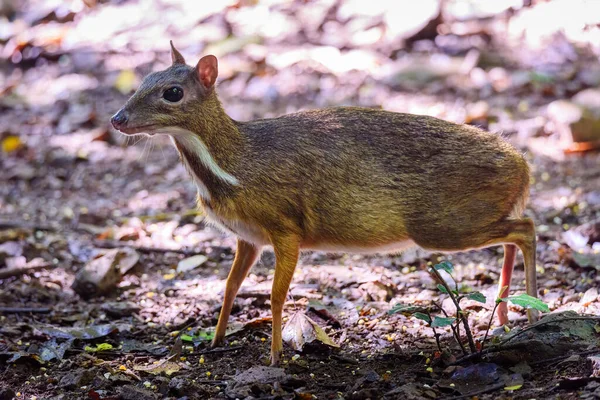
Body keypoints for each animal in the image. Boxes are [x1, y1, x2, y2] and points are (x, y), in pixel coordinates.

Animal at [112, 43, 540, 366]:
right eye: (144, 79)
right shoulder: (248, 237)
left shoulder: (286, 227)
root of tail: (523, 166)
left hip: (443, 225)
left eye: (172, 92)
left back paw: (535, 312)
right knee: (516, 232)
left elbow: (275, 295)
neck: (233, 169)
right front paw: (215, 341)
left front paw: (275, 356)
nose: (117, 118)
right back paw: (505, 314)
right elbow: (230, 286)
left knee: (527, 228)